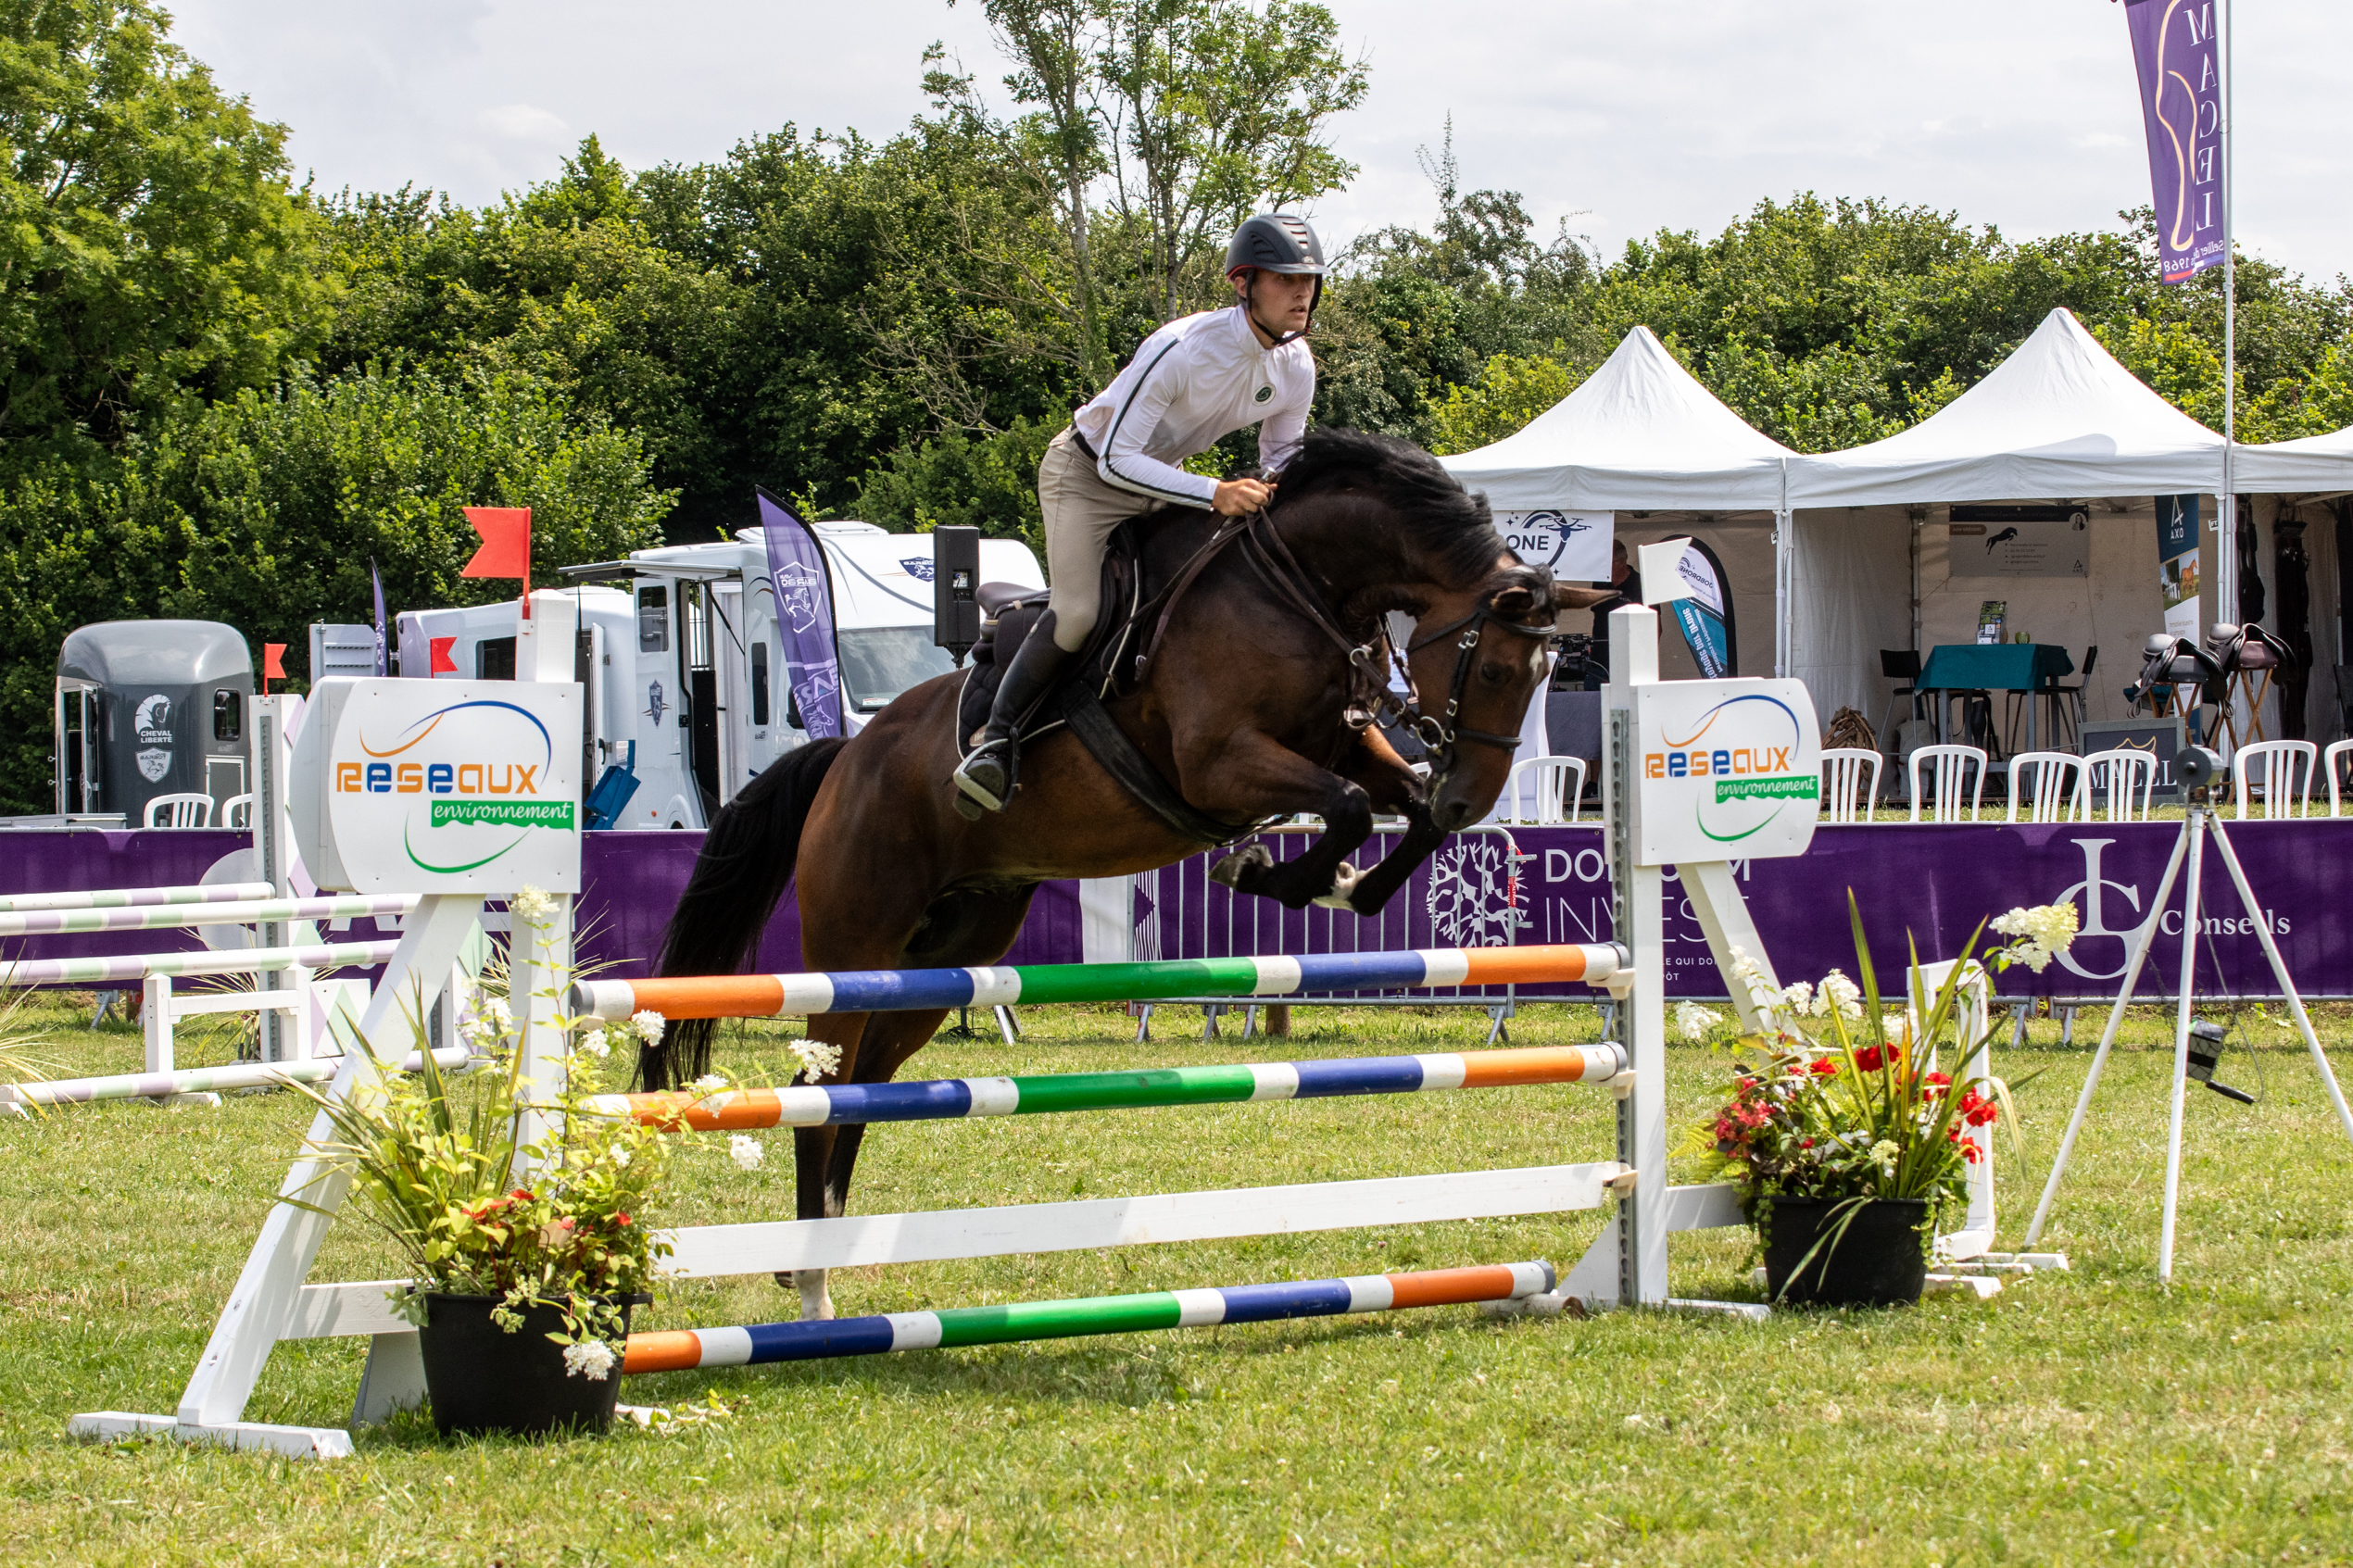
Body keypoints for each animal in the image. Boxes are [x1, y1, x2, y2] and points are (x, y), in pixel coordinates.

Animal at [642, 427, 1590, 1320]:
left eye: (1548, 671)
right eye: (1495, 667)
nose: (1473, 802)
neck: (1301, 589)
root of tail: (844, 757)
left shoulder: (1346, 743)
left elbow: (1396, 809)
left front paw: (1338, 884)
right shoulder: (1219, 764)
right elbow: (1352, 807)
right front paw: (1267, 872)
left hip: (939, 959)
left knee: (861, 1090)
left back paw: (823, 1252)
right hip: (856, 945)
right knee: (819, 1092)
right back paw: (810, 1279)